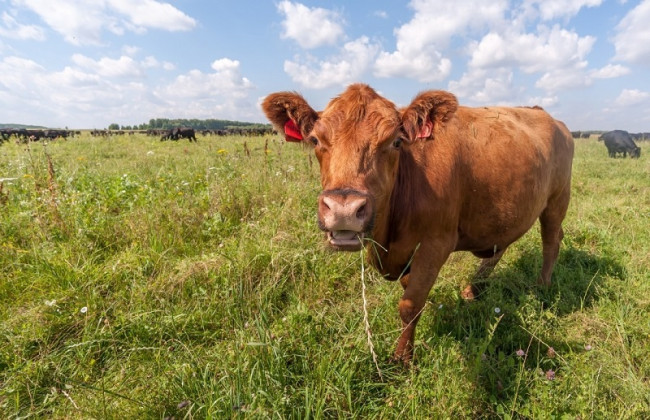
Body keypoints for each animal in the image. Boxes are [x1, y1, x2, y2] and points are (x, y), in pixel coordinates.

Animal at [260, 83, 572, 362]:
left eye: (395, 142)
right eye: (315, 140)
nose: (344, 209)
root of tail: (550, 117)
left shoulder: (437, 242)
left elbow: (410, 305)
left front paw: (402, 359)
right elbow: (408, 286)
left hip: (557, 199)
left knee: (551, 241)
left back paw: (542, 288)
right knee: (500, 246)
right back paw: (474, 288)